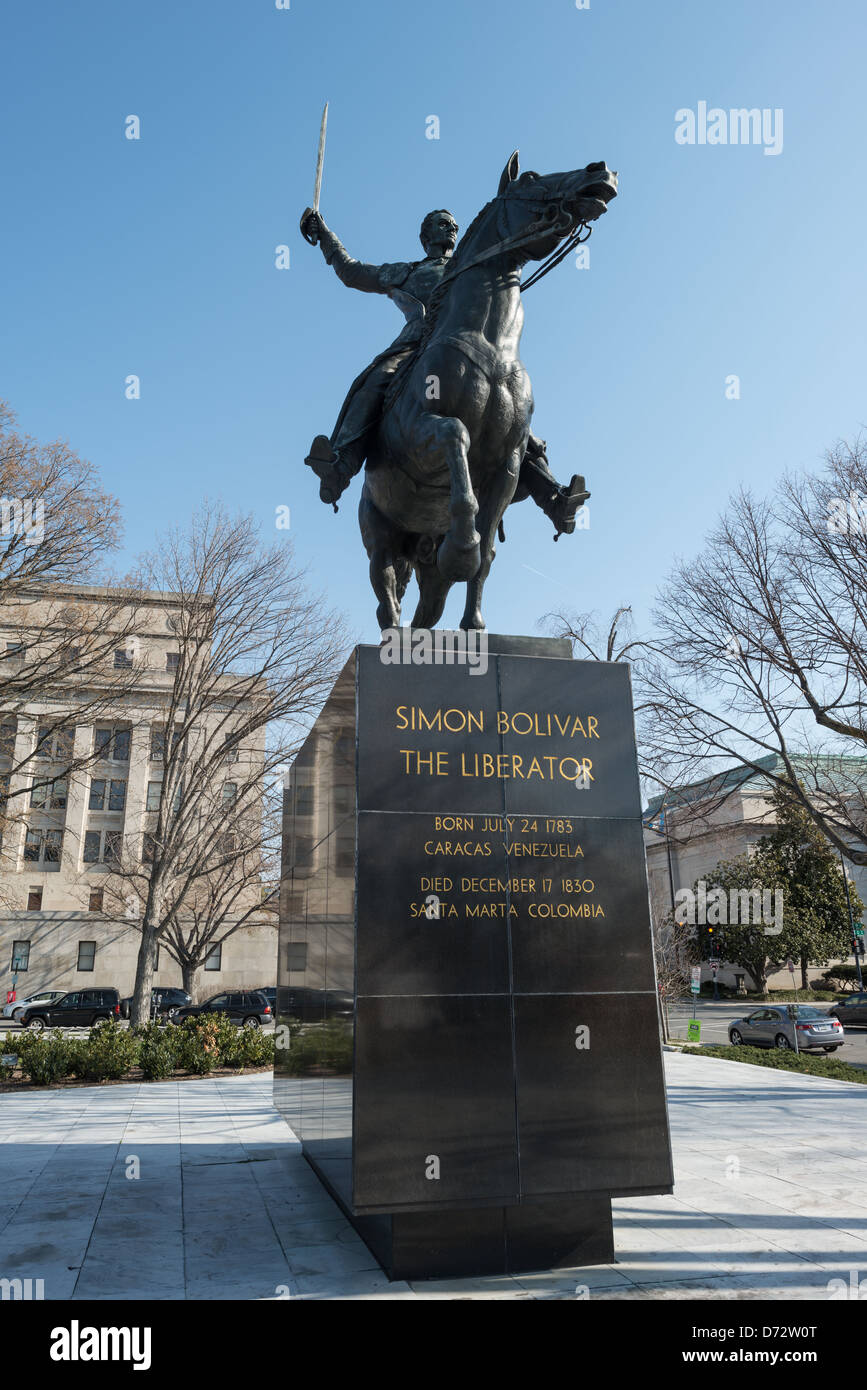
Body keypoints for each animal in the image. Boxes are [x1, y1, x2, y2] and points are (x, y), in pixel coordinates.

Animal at [358, 150, 616, 631]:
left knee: (427, 606)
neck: (492, 345)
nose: (600, 171)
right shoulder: (420, 434)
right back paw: (392, 633)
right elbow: (455, 435)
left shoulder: (509, 462)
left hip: (423, 554)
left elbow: (488, 548)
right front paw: (461, 550)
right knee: (385, 591)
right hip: (379, 532)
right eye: (530, 177)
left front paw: (474, 624)